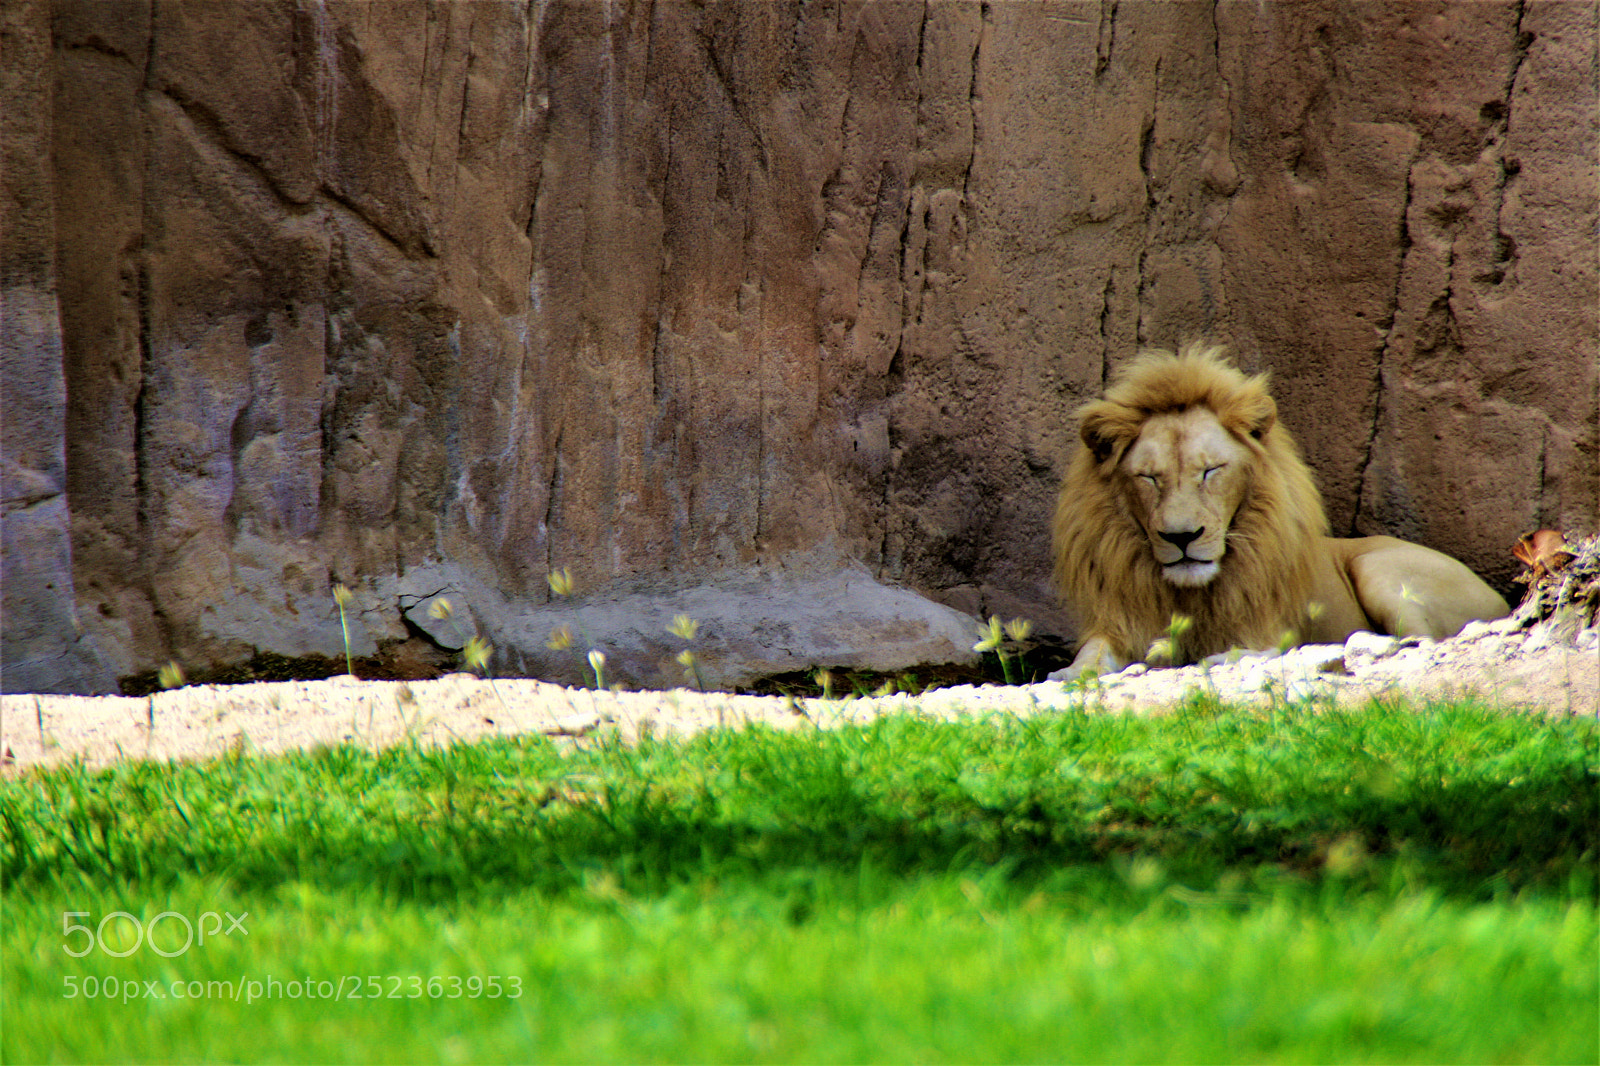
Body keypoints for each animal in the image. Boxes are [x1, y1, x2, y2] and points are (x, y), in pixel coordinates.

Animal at [1050, 343, 1510, 678]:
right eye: (1148, 478)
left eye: (1210, 470)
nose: (1181, 538)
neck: (1193, 593)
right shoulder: (1120, 622)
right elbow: (1094, 652)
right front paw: (1071, 673)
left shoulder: (1268, 625)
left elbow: (1262, 648)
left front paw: (1223, 657)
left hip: (1380, 570)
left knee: (1417, 643)